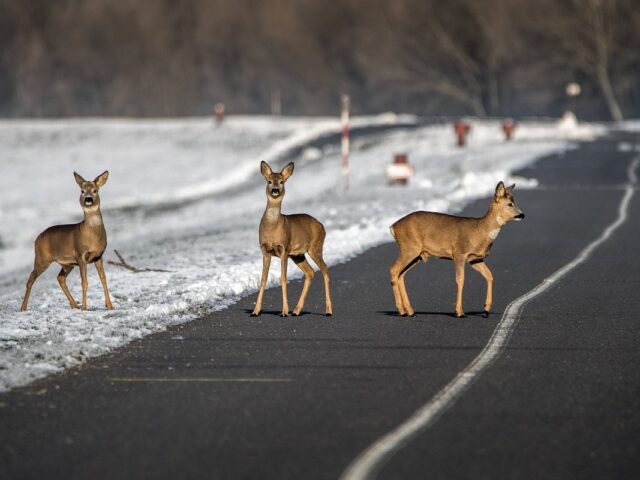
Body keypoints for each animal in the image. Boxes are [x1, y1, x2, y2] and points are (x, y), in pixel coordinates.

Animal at [20, 171, 113, 312]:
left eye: (95, 190)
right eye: (82, 191)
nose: (88, 199)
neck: (92, 236)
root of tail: (37, 238)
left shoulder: (98, 256)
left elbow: (103, 279)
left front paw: (110, 306)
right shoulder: (80, 256)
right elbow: (84, 282)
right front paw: (84, 308)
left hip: (68, 264)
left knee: (60, 278)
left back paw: (74, 305)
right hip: (42, 258)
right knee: (31, 279)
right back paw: (23, 308)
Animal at [251, 161, 332, 317]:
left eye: (282, 181)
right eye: (269, 181)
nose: (275, 190)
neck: (272, 228)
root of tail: (322, 225)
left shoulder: (284, 249)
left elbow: (283, 278)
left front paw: (284, 311)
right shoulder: (265, 250)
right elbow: (263, 279)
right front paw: (255, 311)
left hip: (315, 247)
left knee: (325, 269)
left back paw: (328, 311)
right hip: (298, 255)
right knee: (310, 272)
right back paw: (296, 310)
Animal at [389, 181, 524, 318]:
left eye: (514, 201)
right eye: (510, 204)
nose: (522, 215)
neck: (480, 231)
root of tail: (393, 227)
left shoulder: (474, 259)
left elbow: (489, 275)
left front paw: (486, 310)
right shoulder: (459, 253)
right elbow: (460, 279)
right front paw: (460, 312)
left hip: (417, 255)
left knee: (401, 274)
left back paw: (410, 311)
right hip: (409, 248)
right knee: (393, 270)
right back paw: (401, 310)